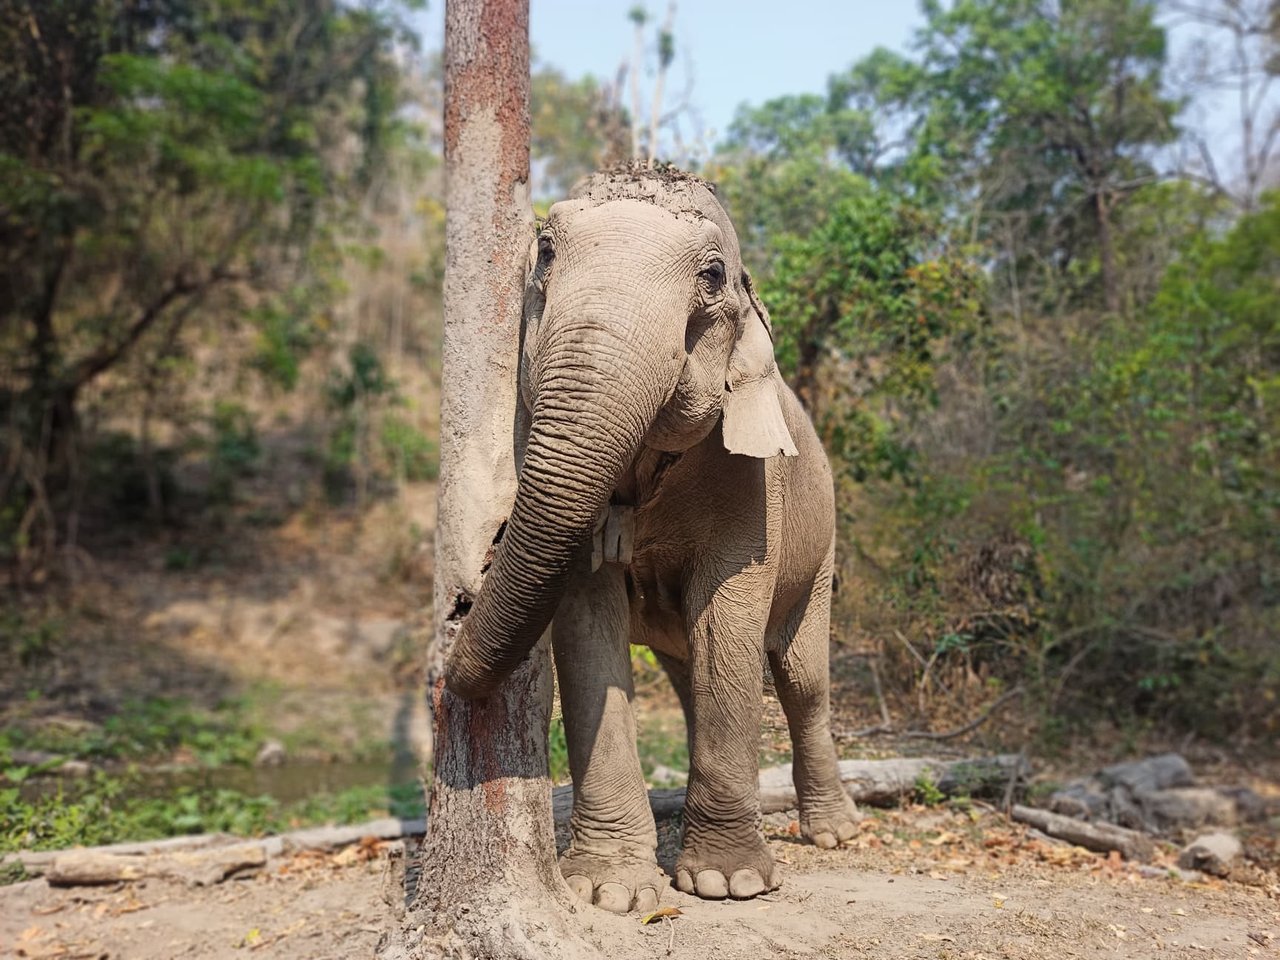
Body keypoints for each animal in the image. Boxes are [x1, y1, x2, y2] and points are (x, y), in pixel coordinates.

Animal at [445, 165, 855, 916]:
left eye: (714, 275)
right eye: (544, 251)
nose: (457, 615)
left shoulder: (752, 483)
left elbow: (730, 615)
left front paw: (730, 883)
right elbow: (586, 624)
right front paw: (610, 891)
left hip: (824, 542)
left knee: (803, 679)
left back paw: (834, 833)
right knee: (692, 671)